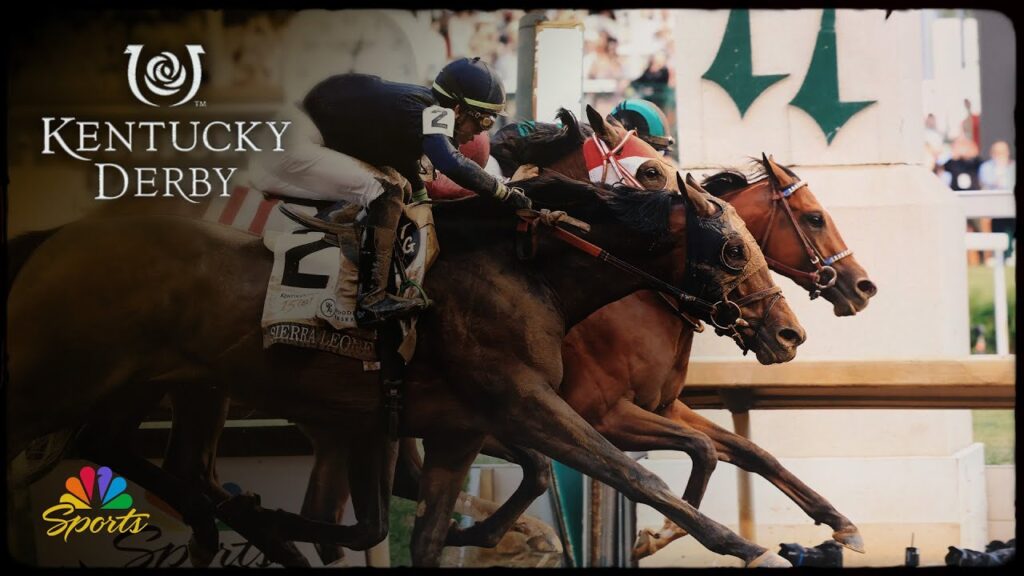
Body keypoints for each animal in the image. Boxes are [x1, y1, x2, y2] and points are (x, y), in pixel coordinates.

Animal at [7, 172, 803, 567]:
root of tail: (50, 238)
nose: (788, 331)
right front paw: (742, 545)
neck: (526, 272)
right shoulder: (529, 403)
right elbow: (634, 474)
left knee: (145, 457)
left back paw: (250, 523)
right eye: (733, 250)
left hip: (169, 388)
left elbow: (427, 533)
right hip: (61, 381)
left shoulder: (460, 430)